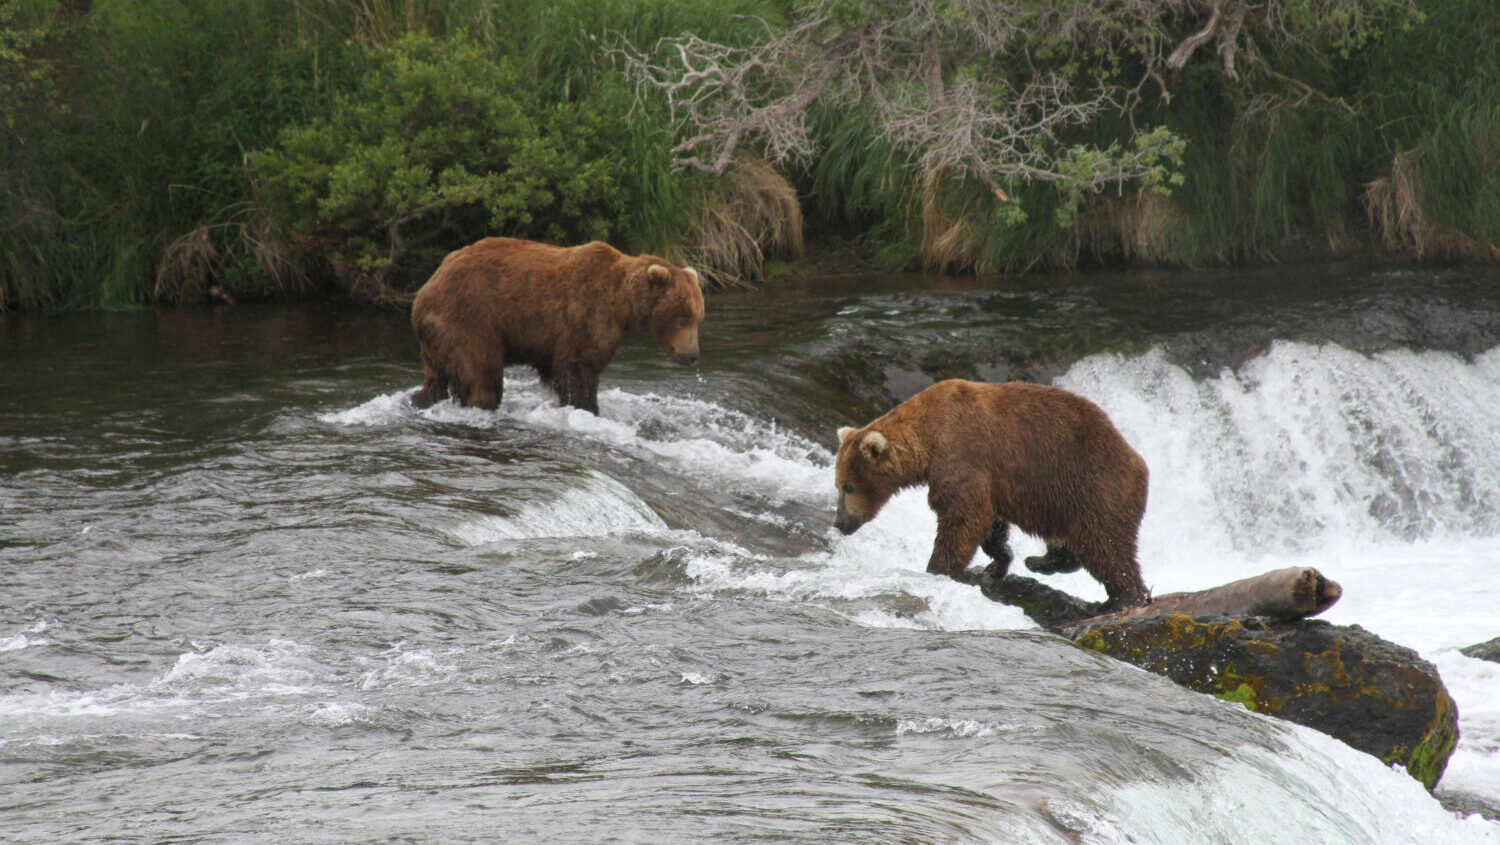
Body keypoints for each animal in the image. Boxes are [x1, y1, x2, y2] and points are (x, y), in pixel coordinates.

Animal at [409, 237, 704, 414]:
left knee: (437, 378)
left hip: (438, 338)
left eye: (699, 318)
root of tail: (422, 294)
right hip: (469, 318)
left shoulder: (551, 340)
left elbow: (558, 369)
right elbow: (578, 369)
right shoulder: (586, 315)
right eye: (683, 318)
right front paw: (587, 407)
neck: (622, 303)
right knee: (482, 373)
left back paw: (419, 399)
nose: (692, 355)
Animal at [833, 379, 1151, 609]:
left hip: (1093, 487)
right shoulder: (987, 479)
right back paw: (1040, 561)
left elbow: (963, 517)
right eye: (838, 485)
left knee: (1105, 546)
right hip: (1065, 502)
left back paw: (1123, 598)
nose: (839, 523)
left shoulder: (961, 453)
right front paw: (997, 563)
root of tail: (1139, 462)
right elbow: (989, 522)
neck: (928, 439)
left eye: (848, 486)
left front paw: (937, 568)